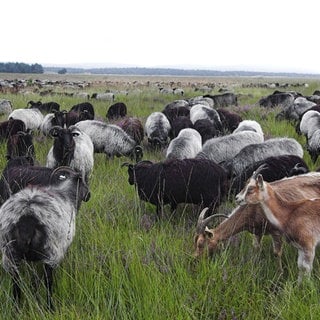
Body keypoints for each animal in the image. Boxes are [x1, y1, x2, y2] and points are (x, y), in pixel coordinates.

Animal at [0, 166, 90, 308]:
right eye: (83, 183)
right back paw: (50, 307)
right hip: (51, 252)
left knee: (16, 282)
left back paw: (17, 306)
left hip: (9, 253)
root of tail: (27, 218)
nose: (89, 195)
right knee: (48, 281)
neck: (66, 193)